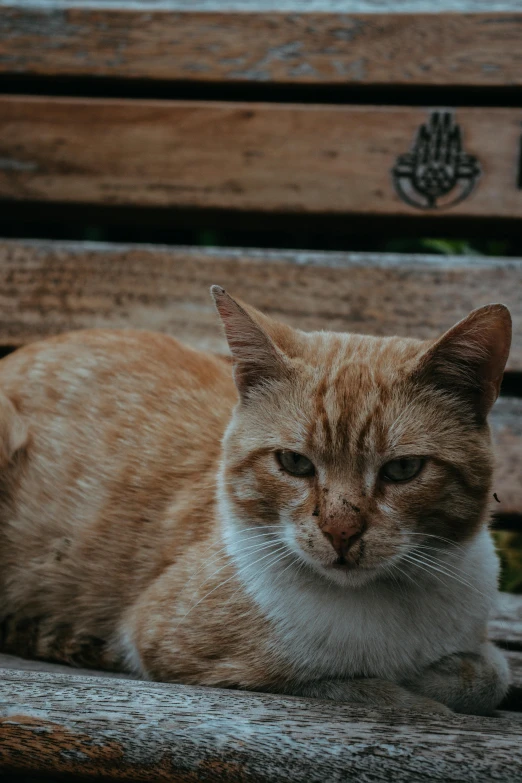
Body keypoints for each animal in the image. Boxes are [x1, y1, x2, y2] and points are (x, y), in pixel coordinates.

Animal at [0, 288, 510, 716]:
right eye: (294, 463)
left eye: (402, 470)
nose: (340, 531)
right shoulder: (171, 646)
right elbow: (357, 687)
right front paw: (417, 694)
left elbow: (492, 676)